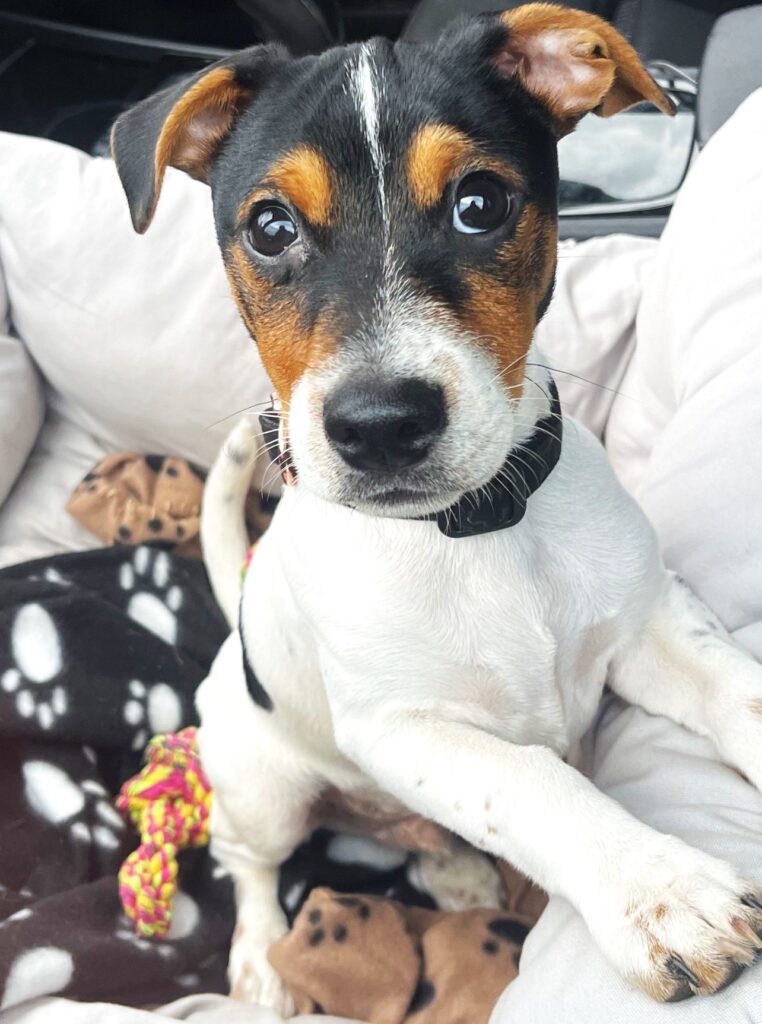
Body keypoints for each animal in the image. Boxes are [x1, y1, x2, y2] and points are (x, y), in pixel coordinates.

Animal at [111, 4, 762, 1011]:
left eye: (480, 203)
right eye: (270, 227)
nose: (379, 425)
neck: (477, 527)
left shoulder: (648, 623)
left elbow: (737, 687)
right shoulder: (404, 729)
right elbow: (531, 784)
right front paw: (657, 890)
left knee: (417, 846)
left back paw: (454, 875)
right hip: (262, 782)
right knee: (250, 863)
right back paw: (261, 964)